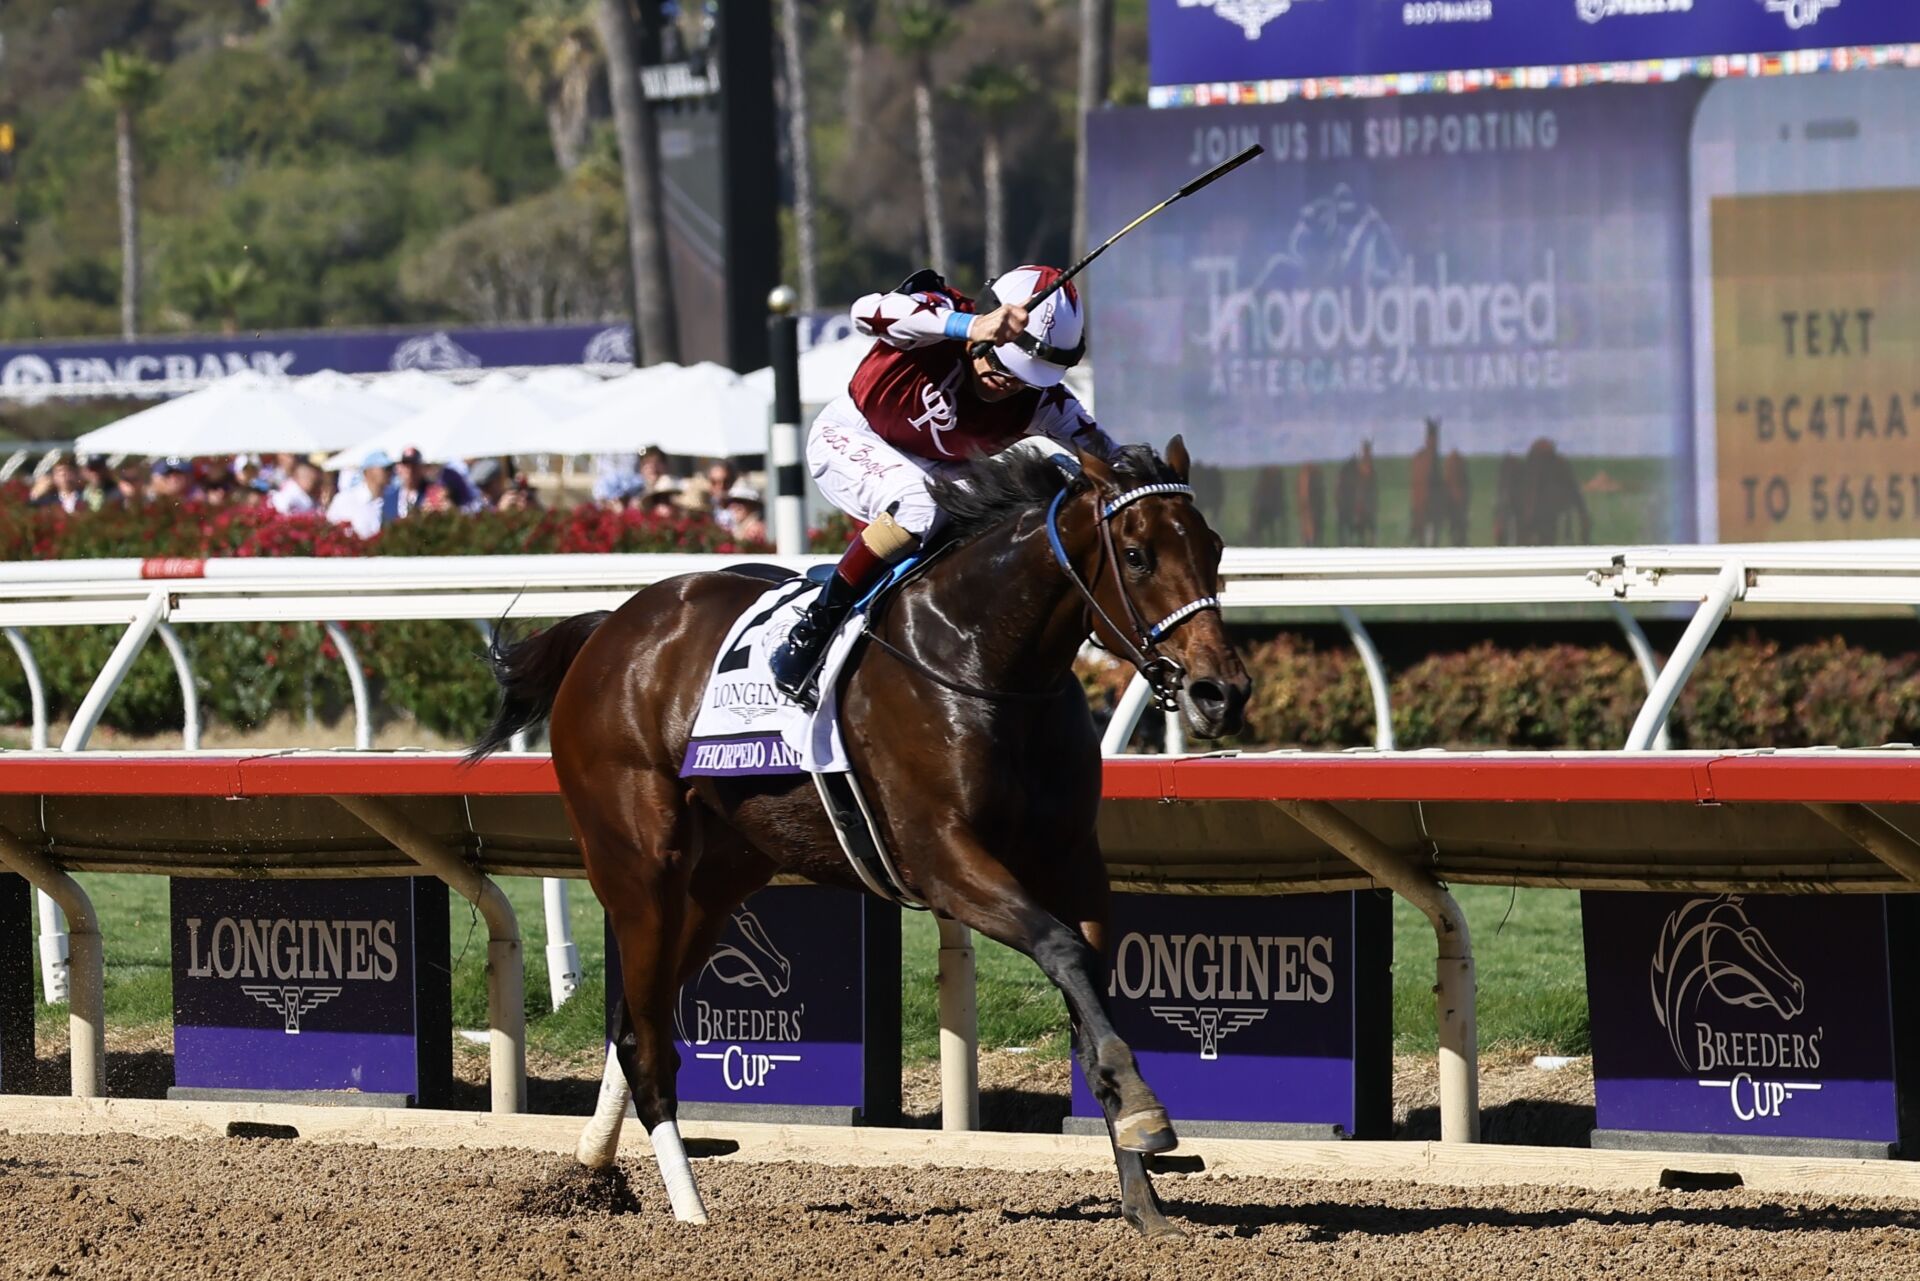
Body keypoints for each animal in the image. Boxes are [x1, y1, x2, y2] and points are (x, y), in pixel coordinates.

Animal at [469, 440, 1250, 1238]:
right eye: (1137, 555)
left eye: (1214, 548)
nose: (1221, 691)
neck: (984, 658)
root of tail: (609, 629)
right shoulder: (943, 861)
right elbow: (1062, 949)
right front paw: (1148, 1115)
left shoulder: (1073, 861)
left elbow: (1089, 990)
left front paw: (1144, 1191)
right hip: (640, 869)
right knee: (646, 1041)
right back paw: (691, 1212)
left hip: (716, 883)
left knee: (637, 1022)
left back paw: (596, 1173)